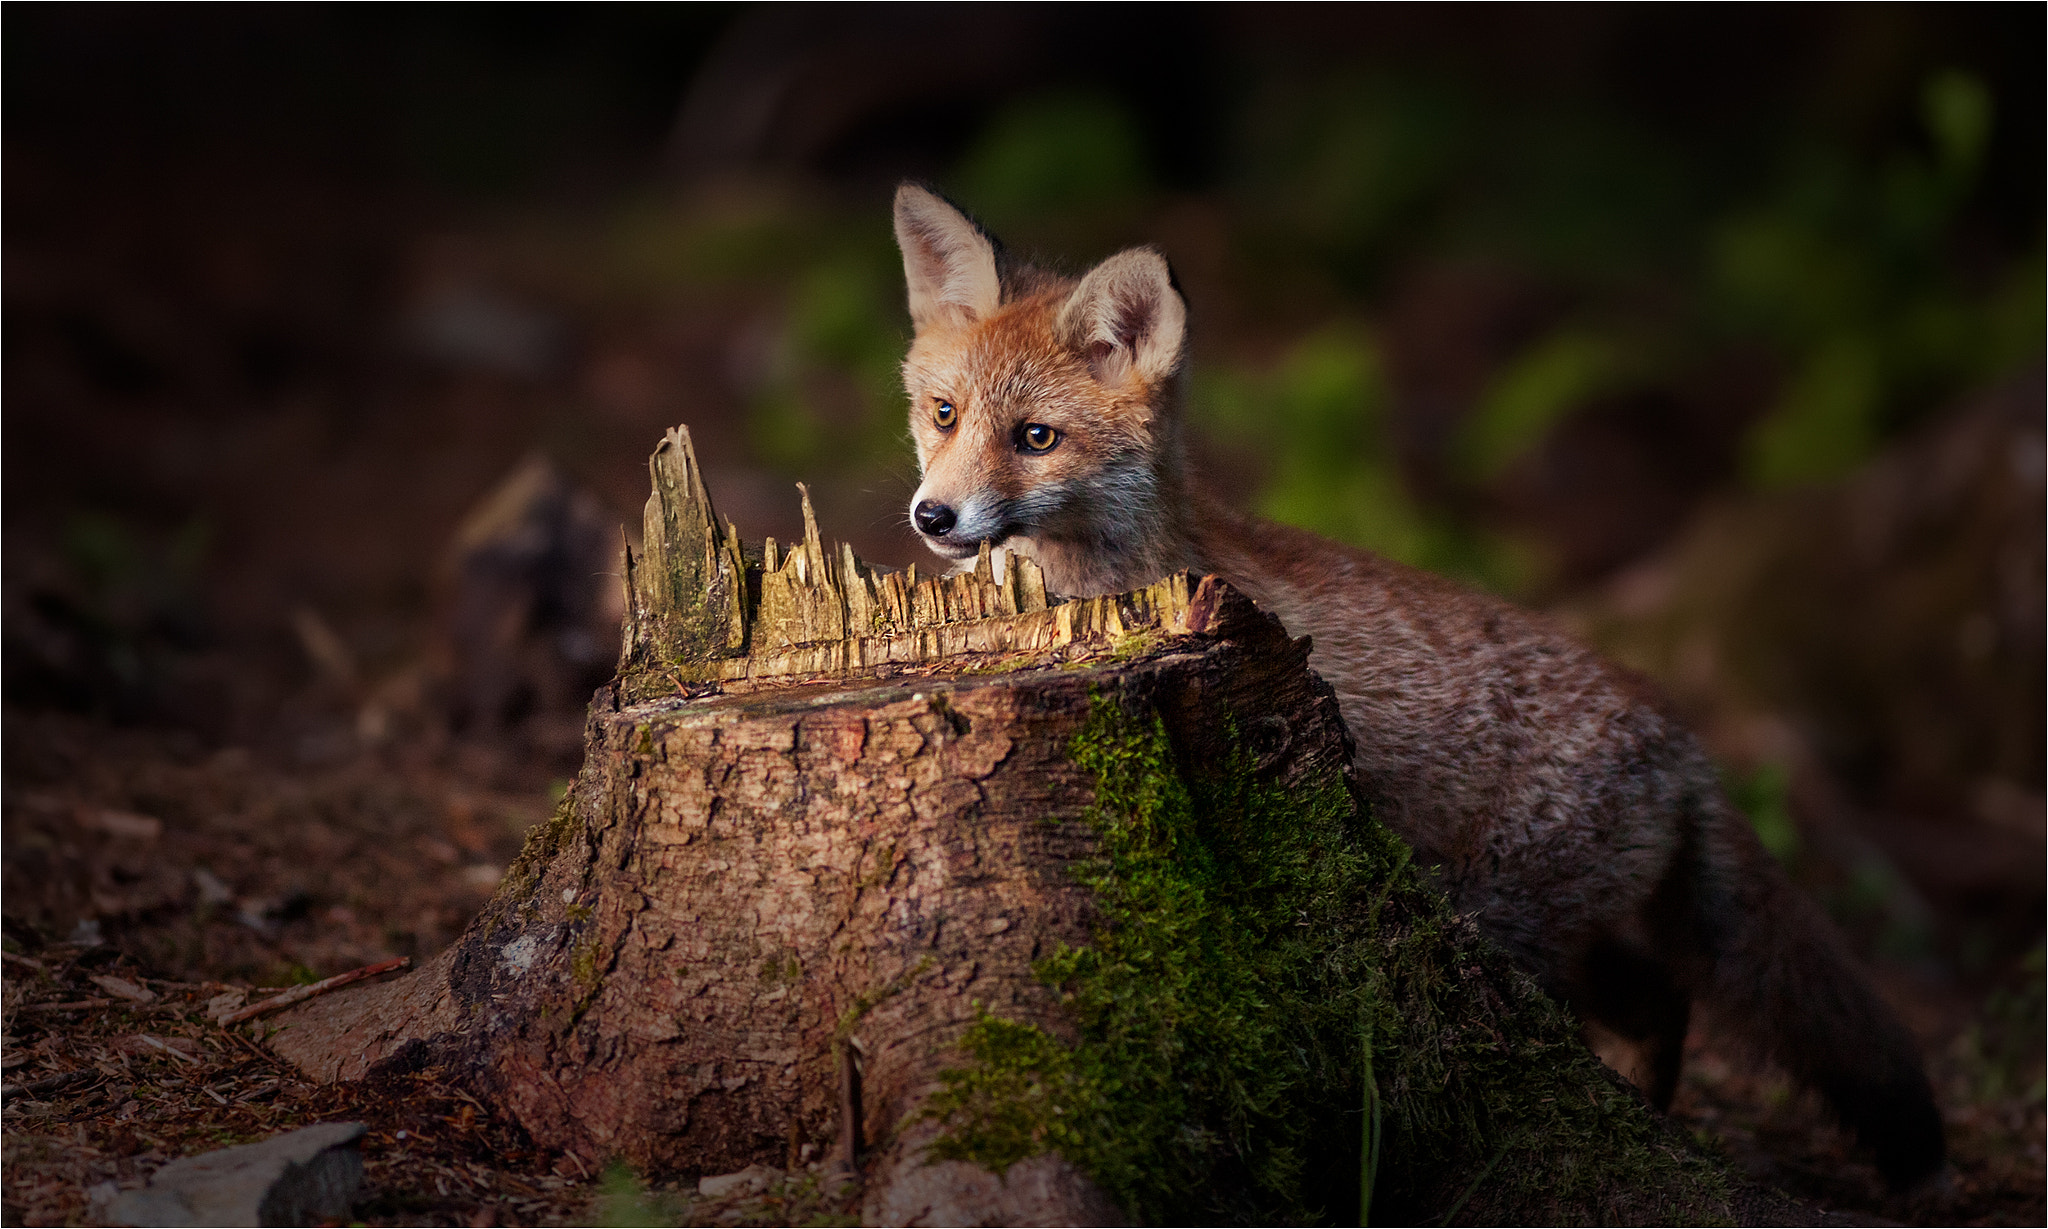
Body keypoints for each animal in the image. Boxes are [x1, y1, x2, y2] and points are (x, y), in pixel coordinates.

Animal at [889, 182, 1945, 1186]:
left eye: (1036, 437)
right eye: (944, 415)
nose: (933, 516)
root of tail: (1680, 739)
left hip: (1504, 930)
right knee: (1662, 1001)